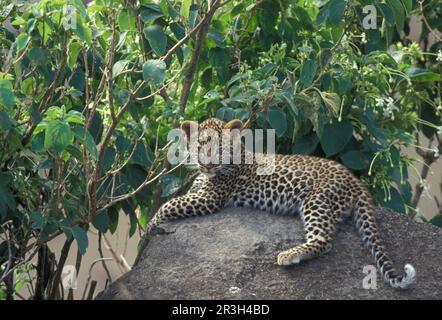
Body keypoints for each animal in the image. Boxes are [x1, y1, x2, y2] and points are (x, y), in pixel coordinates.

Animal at [147, 117, 416, 290]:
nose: (208, 164)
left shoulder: (209, 199)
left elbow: (168, 205)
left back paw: (289, 255)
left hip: (316, 200)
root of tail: (356, 182)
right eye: (201, 146)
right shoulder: (199, 192)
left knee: (324, 241)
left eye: (220, 148)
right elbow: (174, 201)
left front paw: (149, 230)